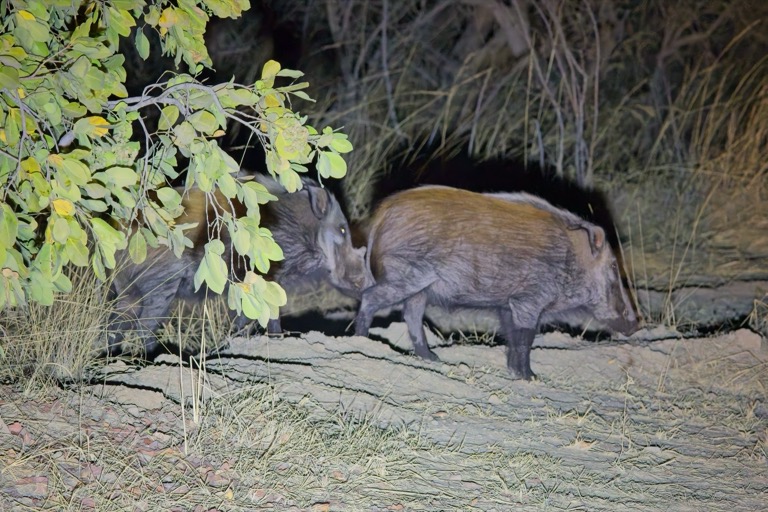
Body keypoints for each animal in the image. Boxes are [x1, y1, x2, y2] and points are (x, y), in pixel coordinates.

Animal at [108, 174, 374, 355]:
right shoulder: (263, 278)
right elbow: (267, 315)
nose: (367, 283)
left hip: (127, 290)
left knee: (116, 325)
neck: (299, 232)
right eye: (342, 229)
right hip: (160, 285)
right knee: (145, 326)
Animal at [354, 186, 638, 380]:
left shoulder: (507, 305)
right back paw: (360, 342)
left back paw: (433, 358)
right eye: (614, 266)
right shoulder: (529, 300)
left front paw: (516, 373)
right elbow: (525, 337)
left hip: (419, 288)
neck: (570, 258)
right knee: (371, 298)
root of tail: (380, 218)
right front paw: (530, 377)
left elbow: (512, 336)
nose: (636, 324)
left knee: (411, 315)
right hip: (407, 276)